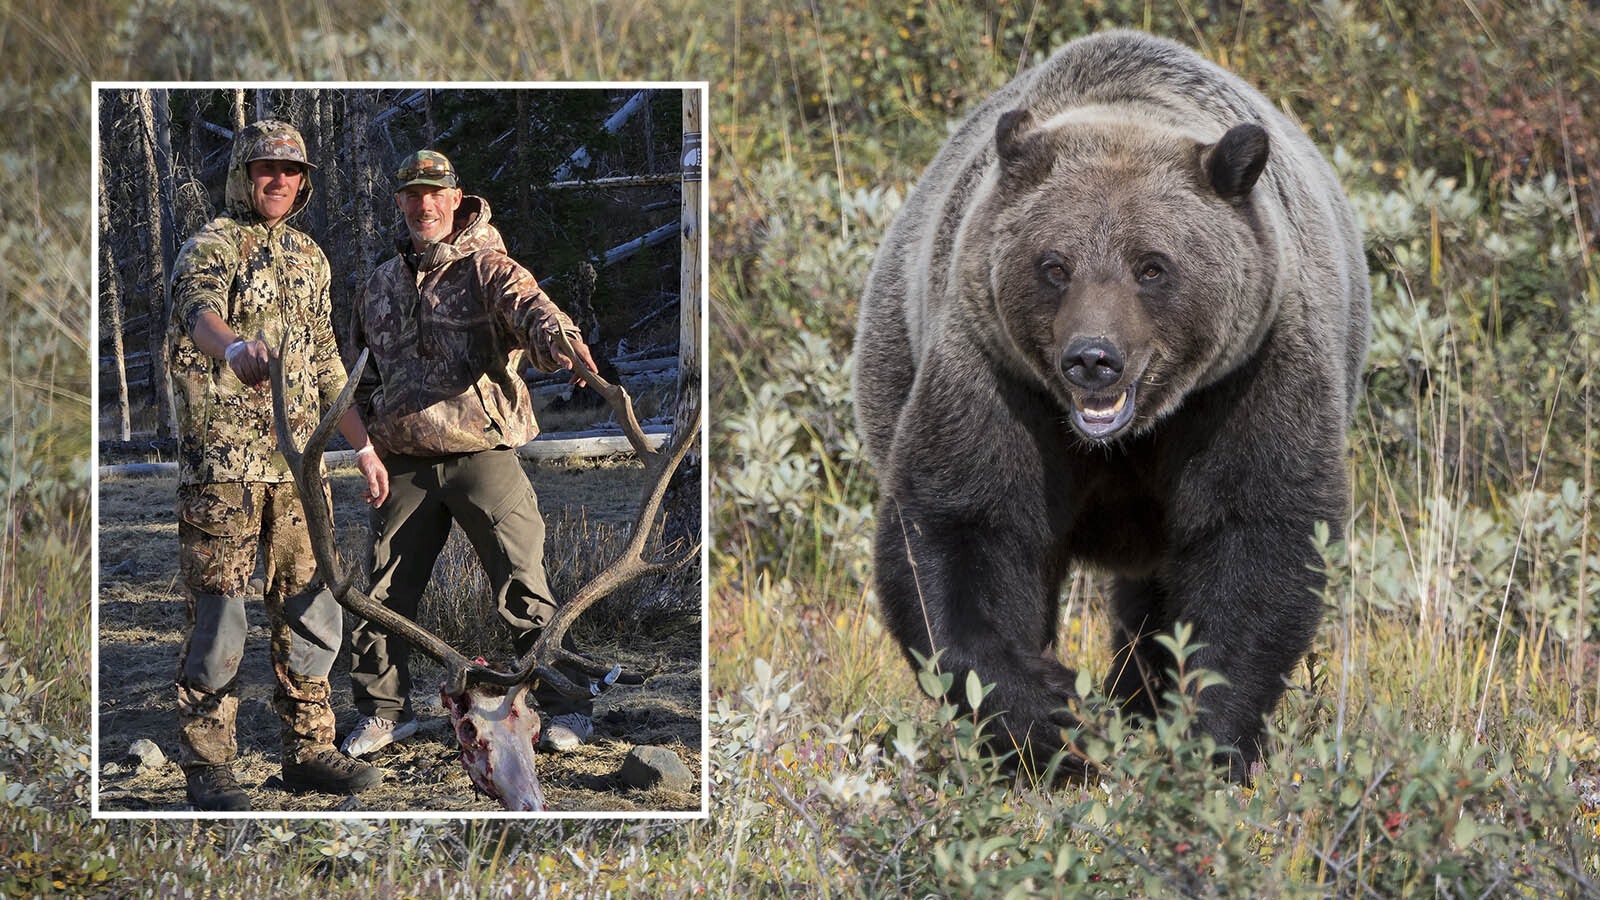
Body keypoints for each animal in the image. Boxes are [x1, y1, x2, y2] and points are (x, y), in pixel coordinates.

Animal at [857, 33, 1369, 778]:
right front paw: (1049, 719)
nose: (1093, 357)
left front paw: (1205, 734)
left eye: (1152, 265)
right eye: (1054, 265)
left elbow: (1257, 535)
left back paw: (1137, 695)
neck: (1126, 438)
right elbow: (963, 527)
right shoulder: (996, 374)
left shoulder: (1250, 376)